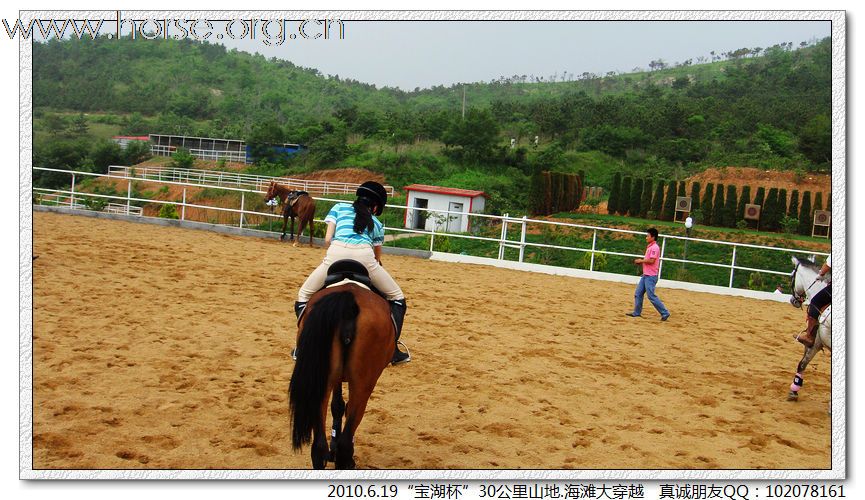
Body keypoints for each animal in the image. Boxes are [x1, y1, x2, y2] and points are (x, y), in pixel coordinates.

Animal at [288, 286, 394, 468]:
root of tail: (348, 297)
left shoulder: (334, 378)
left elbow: (337, 405)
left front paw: (333, 448)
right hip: (363, 383)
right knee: (345, 442)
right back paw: (346, 459)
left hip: (322, 382)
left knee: (318, 447)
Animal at [788, 258, 828, 402]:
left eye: (792, 276)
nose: (793, 300)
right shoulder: (816, 343)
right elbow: (802, 363)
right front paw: (794, 390)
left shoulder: (815, 341)